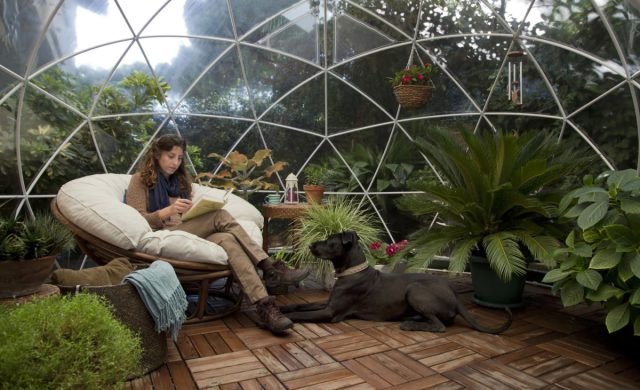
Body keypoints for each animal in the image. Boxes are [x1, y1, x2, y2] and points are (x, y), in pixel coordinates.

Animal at [282, 230, 512, 334]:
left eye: (330, 241)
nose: (310, 246)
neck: (352, 271)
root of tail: (455, 297)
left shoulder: (330, 312)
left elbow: (301, 314)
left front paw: (286, 318)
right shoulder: (328, 302)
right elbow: (300, 305)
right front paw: (283, 308)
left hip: (414, 289)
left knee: (440, 326)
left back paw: (411, 324)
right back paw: (414, 319)